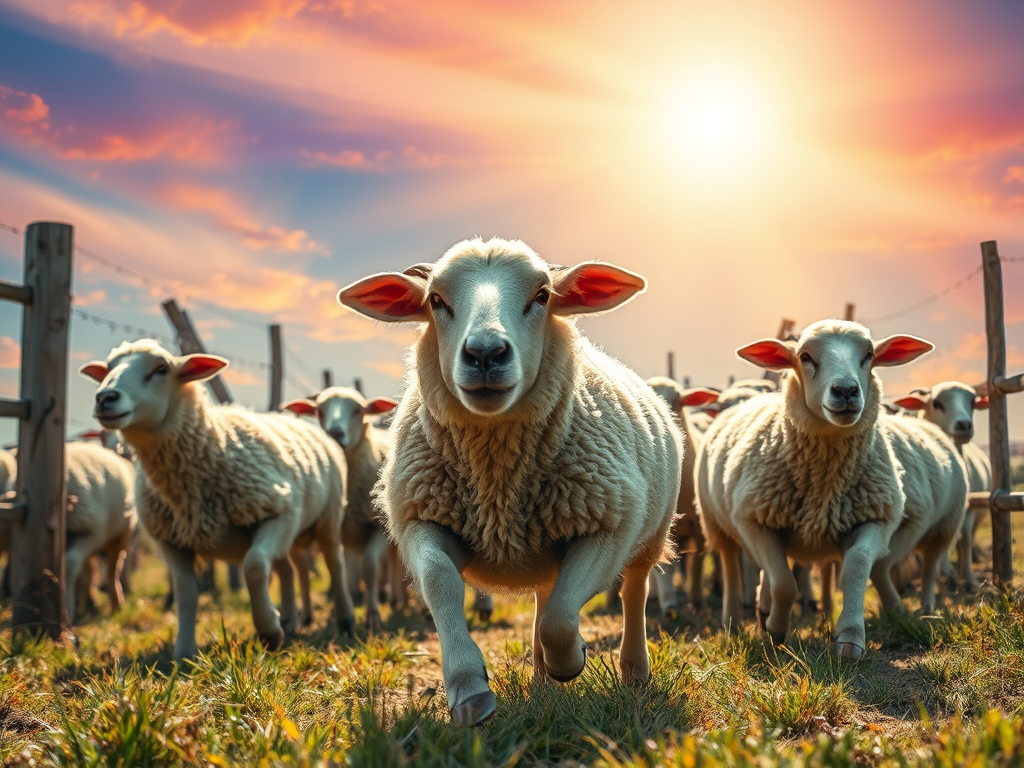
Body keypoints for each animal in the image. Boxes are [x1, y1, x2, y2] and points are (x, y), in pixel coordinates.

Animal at [79, 340, 355, 659]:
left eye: (161, 369)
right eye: (107, 369)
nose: (105, 398)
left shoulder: (280, 511)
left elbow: (254, 567)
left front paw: (268, 632)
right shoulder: (171, 539)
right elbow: (187, 593)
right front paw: (184, 652)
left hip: (328, 517)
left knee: (334, 565)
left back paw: (345, 621)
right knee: (285, 569)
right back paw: (288, 619)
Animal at [337, 237, 683, 726]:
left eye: (542, 295)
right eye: (436, 300)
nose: (485, 354)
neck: (497, 479)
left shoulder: (607, 527)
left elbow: (562, 618)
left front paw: (571, 660)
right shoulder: (422, 519)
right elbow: (443, 582)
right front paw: (469, 689)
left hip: (650, 531)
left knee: (634, 591)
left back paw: (633, 673)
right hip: (545, 545)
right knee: (546, 596)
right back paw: (541, 681)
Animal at [696, 319, 942, 658]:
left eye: (869, 354)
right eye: (804, 356)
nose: (846, 391)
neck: (825, 483)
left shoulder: (876, 518)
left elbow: (856, 567)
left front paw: (850, 638)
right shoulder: (752, 521)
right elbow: (785, 582)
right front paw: (776, 630)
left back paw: (762, 607)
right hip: (717, 523)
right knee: (733, 567)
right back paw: (733, 621)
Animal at [893, 382, 992, 589]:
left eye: (973, 403)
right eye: (936, 403)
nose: (964, 425)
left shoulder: (965, 508)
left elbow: (965, 540)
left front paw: (969, 579)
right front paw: (946, 574)